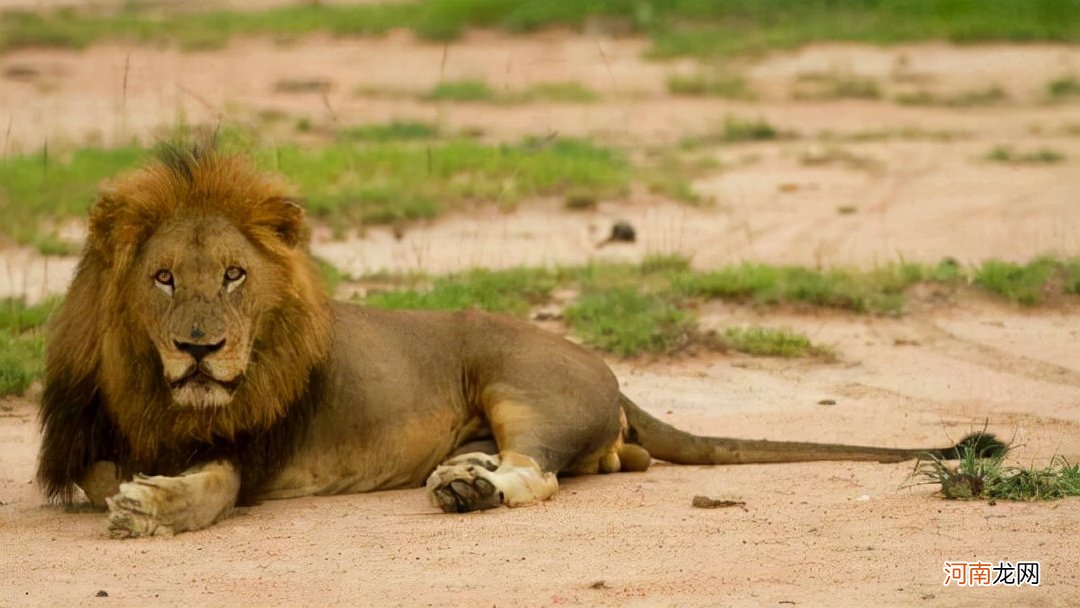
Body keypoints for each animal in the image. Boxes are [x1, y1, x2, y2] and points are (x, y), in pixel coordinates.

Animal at [35, 145, 1002, 537]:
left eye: (235, 275)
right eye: (165, 279)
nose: (200, 348)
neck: (163, 392)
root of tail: (602, 364)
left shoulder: (260, 451)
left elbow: (210, 487)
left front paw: (155, 507)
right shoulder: (90, 436)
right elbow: (101, 472)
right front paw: (138, 489)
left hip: (520, 382)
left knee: (540, 470)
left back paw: (471, 488)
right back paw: (465, 475)